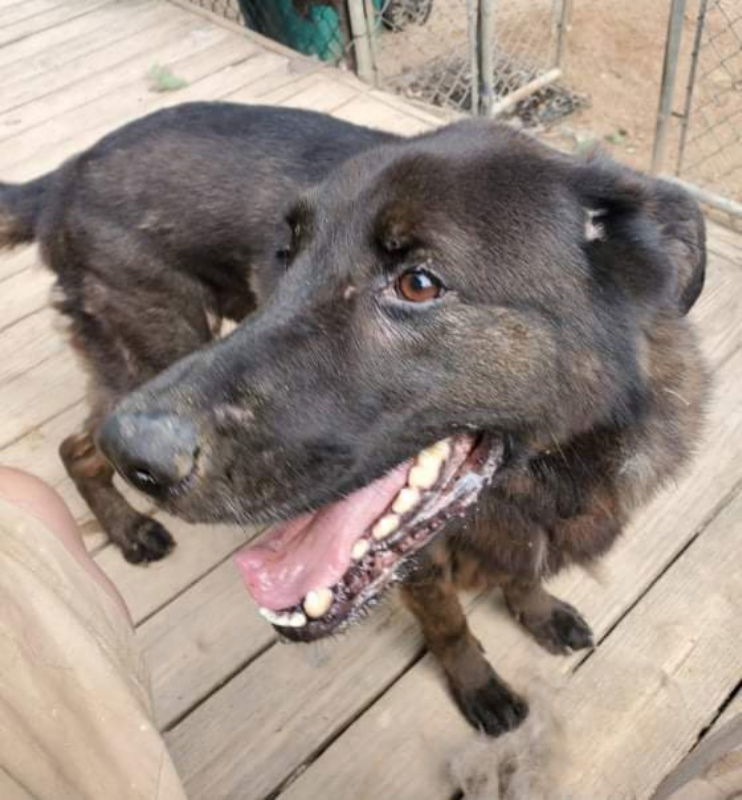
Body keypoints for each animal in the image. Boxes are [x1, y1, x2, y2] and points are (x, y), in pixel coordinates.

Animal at [0, 103, 708, 736]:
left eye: (419, 283)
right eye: (284, 255)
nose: (138, 454)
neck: (549, 473)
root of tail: (66, 173)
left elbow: (525, 575)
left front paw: (540, 613)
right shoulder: (421, 565)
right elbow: (451, 626)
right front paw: (478, 686)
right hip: (152, 351)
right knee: (75, 446)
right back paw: (127, 529)